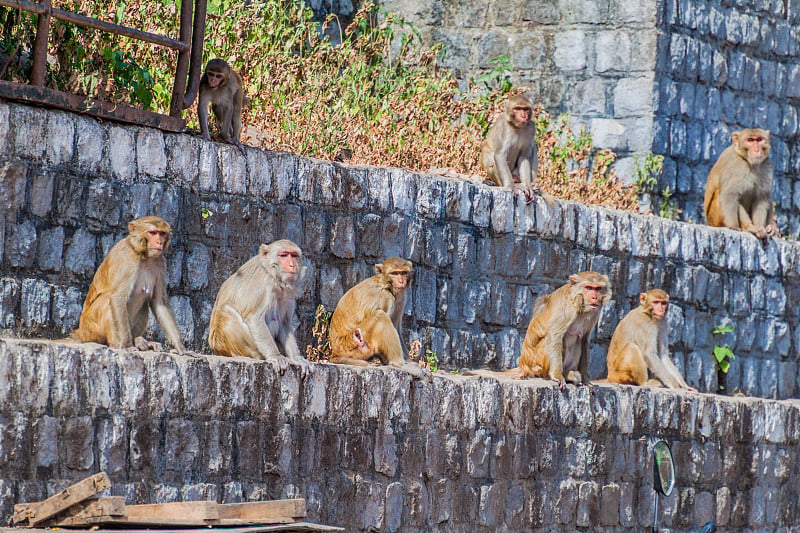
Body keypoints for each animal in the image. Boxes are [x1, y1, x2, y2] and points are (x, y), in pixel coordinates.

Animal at [70, 214, 186, 352]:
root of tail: (81, 333)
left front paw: (179, 346)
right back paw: (116, 343)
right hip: (90, 329)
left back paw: (139, 340)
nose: (160, 242)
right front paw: (126, 345)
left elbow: (159, 303)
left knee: (144, 304)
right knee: (107, 299)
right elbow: (117, 297)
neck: (143, 255)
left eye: (162, 233)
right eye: (153, 233)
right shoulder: (127, 259)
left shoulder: (160, 262)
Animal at [208, 240, 304, 368]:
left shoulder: (287, 295)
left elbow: (285, 324)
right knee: (226, 311)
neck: (272, 274)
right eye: (283, 255)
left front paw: (297, 358)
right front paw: (275, 356)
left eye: (294, 256)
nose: (292, 265)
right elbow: (255, 318)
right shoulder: (264, 285)